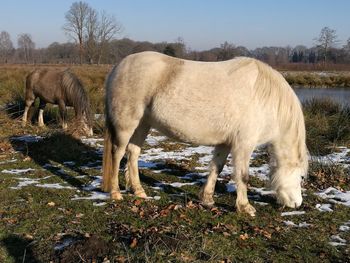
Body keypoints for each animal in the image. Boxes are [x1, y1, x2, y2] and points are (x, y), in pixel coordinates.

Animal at [100, 51, 306, 217]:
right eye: (302, 177)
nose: (297, 203)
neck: (264, 98)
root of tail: (119, 67)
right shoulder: (244, 145)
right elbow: (243, 176)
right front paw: (245, 207)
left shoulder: (225, 143)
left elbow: (216, 167)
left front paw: (207, 198)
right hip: (126, 125)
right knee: (117, 154)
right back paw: (115, 193)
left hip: (143, 124)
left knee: (133, 154)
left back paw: (139, 191)